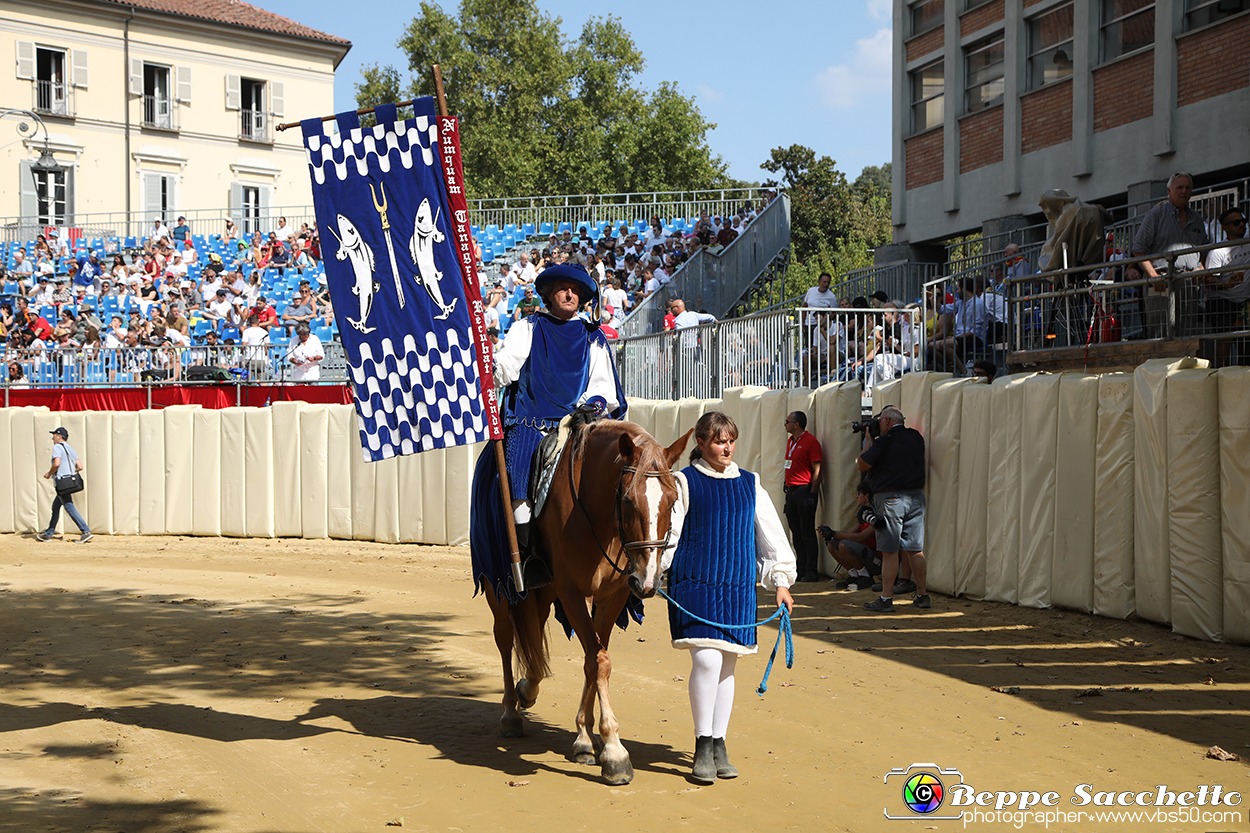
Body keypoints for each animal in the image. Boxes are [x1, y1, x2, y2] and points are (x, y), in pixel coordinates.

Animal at [480, 417, 695, 780]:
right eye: (627, 500)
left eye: (672, 499)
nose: (649, 580)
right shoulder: (571, 592)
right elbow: (599, 660)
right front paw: (614, 751)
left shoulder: (613, 594)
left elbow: (595, 659)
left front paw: (585, 738)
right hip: (499, 585)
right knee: (505, 637)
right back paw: (511, 711)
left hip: (546, 590)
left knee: (535, 634)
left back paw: (529, 688)